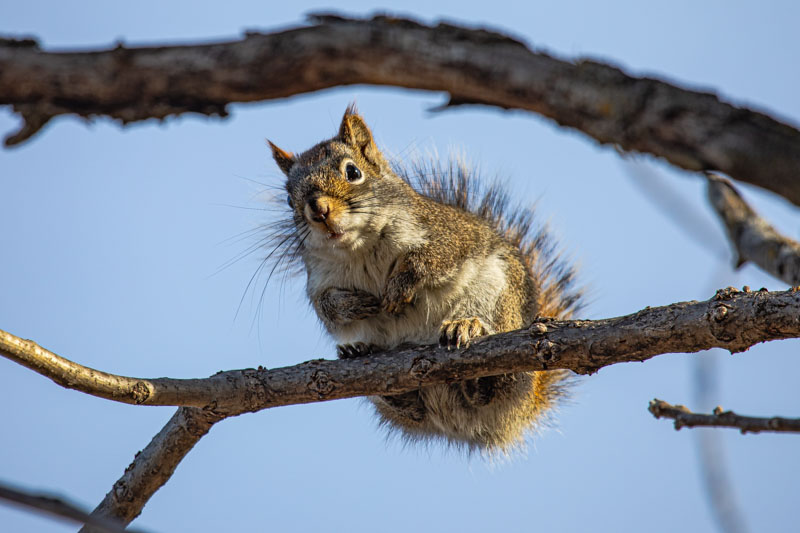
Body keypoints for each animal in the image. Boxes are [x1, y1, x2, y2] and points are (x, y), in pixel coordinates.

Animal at [267, 105, 582, 453]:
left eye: (352, 172)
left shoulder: (448, 233)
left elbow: (430, 259)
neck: (360, 248)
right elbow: (326, 308)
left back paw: (468, 334)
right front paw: (355, 304)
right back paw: (370, 364)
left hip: (499, 300)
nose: (319, 210)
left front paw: (398, 287)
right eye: (288, 198)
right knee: (416, 410)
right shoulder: (319, 278)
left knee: (499, 383)